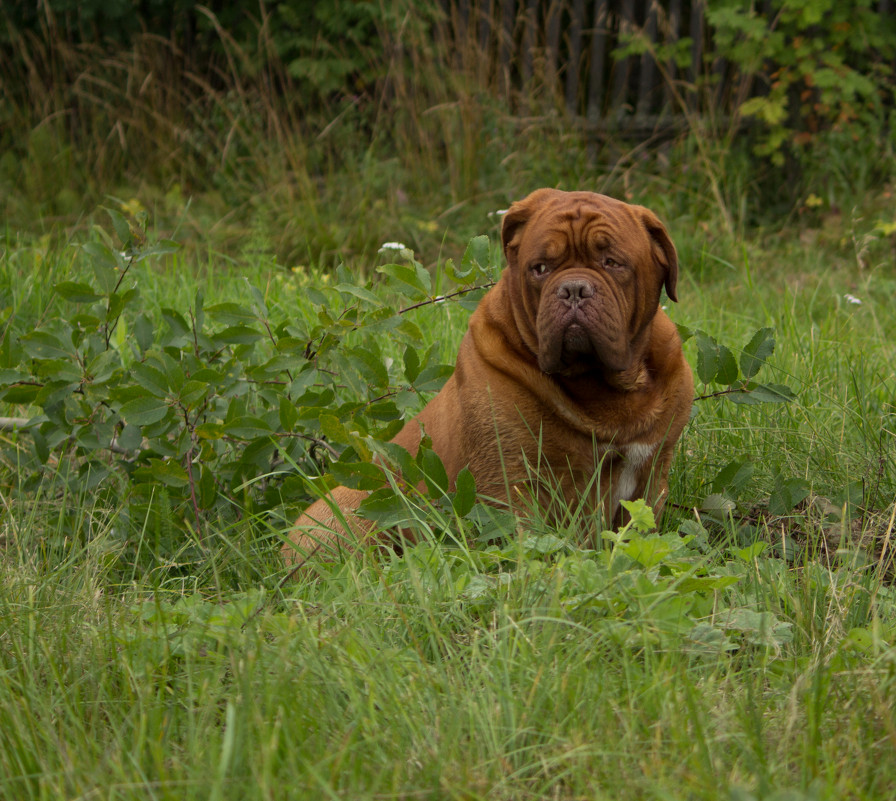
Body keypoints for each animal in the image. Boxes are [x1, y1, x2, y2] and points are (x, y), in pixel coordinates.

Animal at [282, 188, 692, 564]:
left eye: (612, 262)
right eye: (540, 268)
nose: (573, 288)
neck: (603, 388)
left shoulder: (654, 473)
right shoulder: (511, 480)